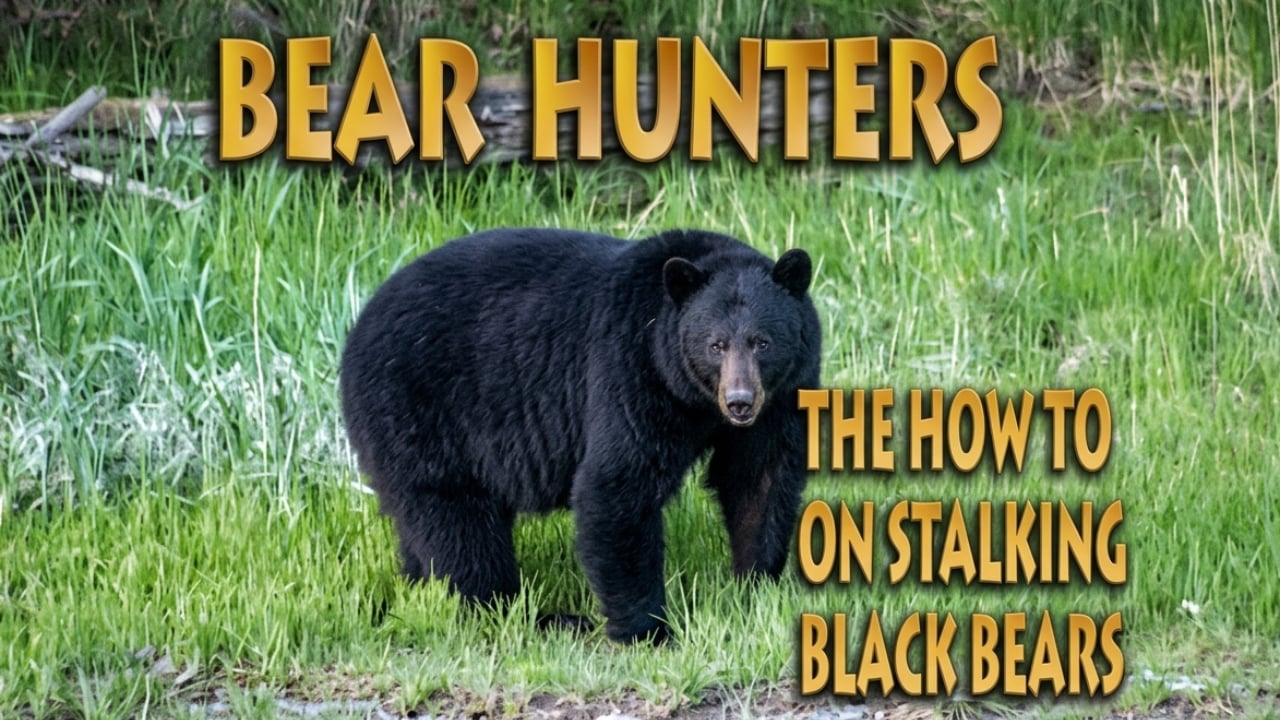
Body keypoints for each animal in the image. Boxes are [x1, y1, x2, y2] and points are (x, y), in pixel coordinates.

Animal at [340, 227, 821, 643]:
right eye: (715, 344)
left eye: (762, 342)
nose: (740, 401)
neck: (692, 397)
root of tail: (357, 329)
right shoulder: (630, 369)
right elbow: (617, 485)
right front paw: (648, 630)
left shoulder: (780, 398)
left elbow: (759, 478)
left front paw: (753, 589)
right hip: (420, 410)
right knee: (457, 525)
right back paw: (528, 616)